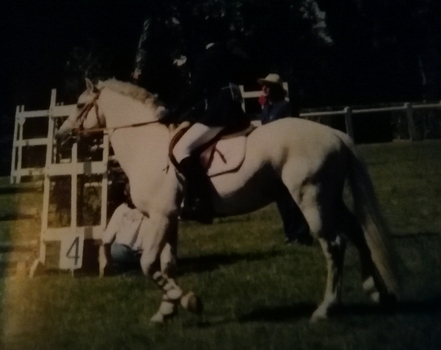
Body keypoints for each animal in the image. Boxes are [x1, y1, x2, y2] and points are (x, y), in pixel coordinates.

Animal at [55, 78, 398, 322]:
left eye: (81, 104)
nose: (60, 136)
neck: (146, 147)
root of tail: (335, 134)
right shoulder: (168, 219)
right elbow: (166, 265)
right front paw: (167, 310)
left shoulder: (161, 216)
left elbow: (148, 264)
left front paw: (188, 301)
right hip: (330, 198)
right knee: (356, 231)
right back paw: (376, 292)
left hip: (311, 199)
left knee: (335, 245)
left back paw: (326, 309)